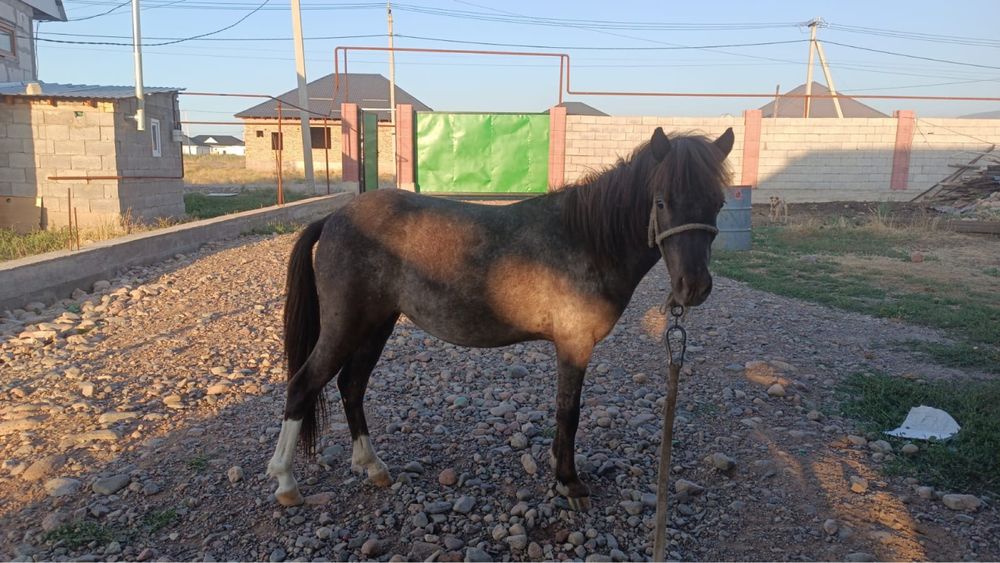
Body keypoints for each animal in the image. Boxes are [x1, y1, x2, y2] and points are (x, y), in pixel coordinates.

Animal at [267, 126, 734, 511]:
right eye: (662, 201)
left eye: (718, 203)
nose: (694, 286)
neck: (587, 239)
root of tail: (333, 217)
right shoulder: (574, 345)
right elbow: (569, 412)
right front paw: (568, 482)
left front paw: (558, 467)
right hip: (345, 326)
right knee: (303, 386)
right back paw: (286, 483)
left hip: (376, 325)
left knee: (351, 385)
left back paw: (372, 465)